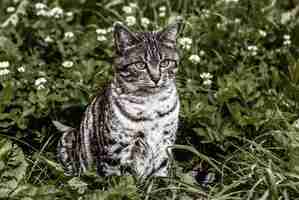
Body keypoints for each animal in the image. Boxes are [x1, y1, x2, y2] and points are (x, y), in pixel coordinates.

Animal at [56, 18, 183, 179]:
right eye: (140, 65)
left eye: (165, 63)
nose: (156, 78)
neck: (151, 104)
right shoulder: (115, 151)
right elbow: (119, 179)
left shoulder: (164, 147)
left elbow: (160, 176)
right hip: (67, 140)